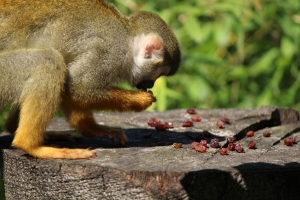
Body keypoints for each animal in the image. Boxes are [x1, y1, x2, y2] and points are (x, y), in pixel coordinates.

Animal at [0, 0, 180, 159]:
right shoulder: (109, 52)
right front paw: (141, 100)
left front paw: (92, 128)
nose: (150, 84)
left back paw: (18, 129)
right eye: (158, 74)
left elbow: (70, 86)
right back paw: (31, 145)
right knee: (48, 60)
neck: (127, 37)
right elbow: (76, 87)